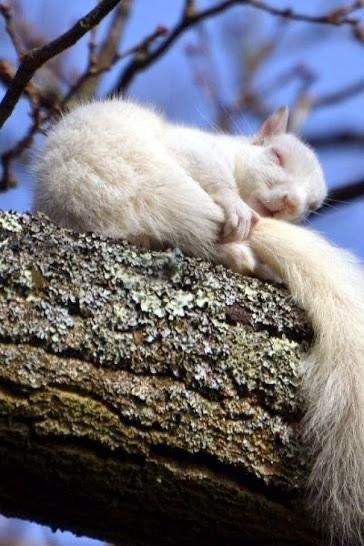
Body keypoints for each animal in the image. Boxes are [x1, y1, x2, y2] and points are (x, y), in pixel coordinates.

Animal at [34, 99, 364, 544]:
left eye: (313, 207)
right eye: (276, 156)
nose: (291, 205)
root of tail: (147, 192)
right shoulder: (204, 149)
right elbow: (213, 169)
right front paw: (237, 206)